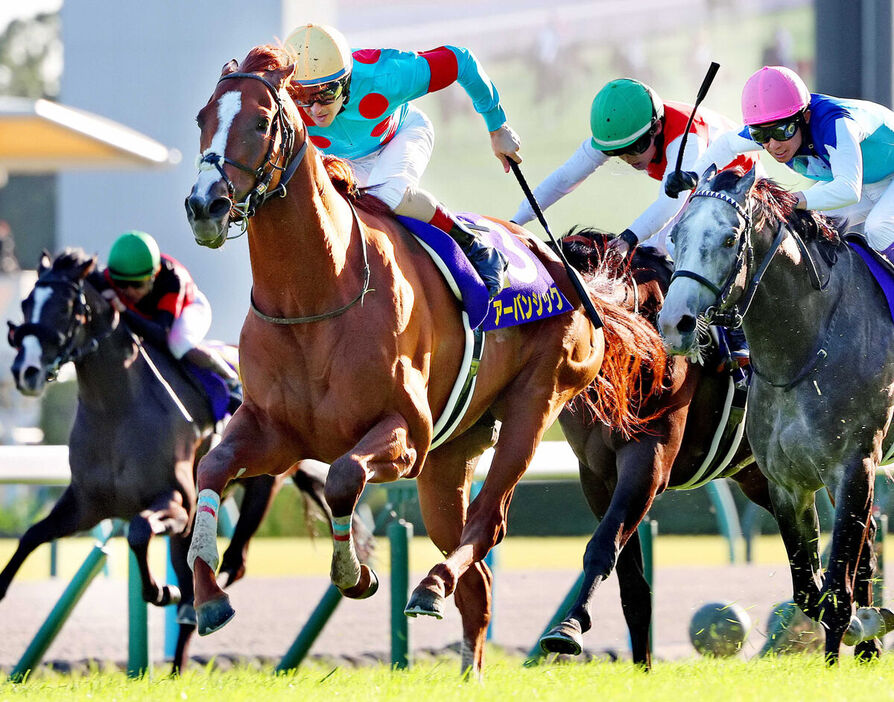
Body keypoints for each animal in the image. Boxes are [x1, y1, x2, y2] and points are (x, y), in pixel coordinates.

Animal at [186, 45, 668, 676]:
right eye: (201, 119)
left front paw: (355, 573)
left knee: (487, 523)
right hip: (451, 455)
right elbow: (211, 470)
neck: (315, 294)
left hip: (533, 404)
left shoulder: (406, 434)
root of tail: (558, 262)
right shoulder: (275, 432)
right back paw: (465, 660)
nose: (205, 205)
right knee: (477, 579)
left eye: (264, 121)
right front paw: (208, 596)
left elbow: (343, 476)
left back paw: (431, 585)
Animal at [540, 232, 776, 672]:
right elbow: (632, 583)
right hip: (758, 476)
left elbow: (603, 546)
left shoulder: (648, 460)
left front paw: (569, 626)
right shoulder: (596, 475)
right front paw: (642, 667)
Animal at [656, 166, 894, 664]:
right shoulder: (787, 483)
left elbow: (837, 593)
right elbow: (810, 590)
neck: (803, 350)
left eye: (730, 238)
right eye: (676, 236)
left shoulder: (854, 466)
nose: (674, 323)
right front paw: (866, 626)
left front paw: (846, 644)